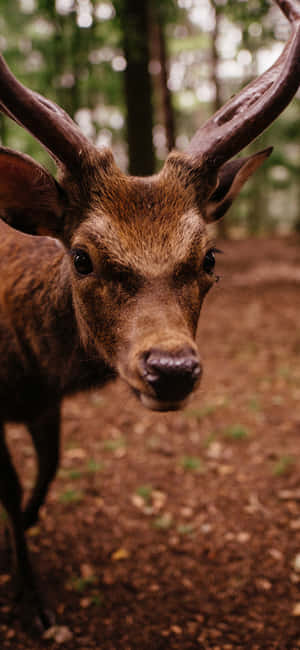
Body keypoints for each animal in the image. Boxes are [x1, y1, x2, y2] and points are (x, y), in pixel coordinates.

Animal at [0, 0, 298, 632]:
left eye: (209, 256)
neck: (26, 370)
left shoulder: (45, 407)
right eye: (81, 256)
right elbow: (12, 489)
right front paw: (32, 601)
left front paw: (17, 552)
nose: (171, 368)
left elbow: (48, 472)